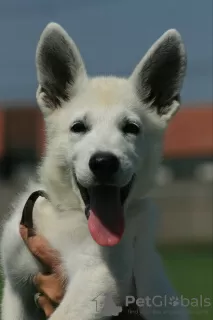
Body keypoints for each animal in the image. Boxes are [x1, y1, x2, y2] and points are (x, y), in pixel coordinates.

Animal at [1, 23, 188, 320]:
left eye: (131, 128)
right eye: (78, 127)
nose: (103, 162)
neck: (68, 216)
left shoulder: (101, 277)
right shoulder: (15, 287)